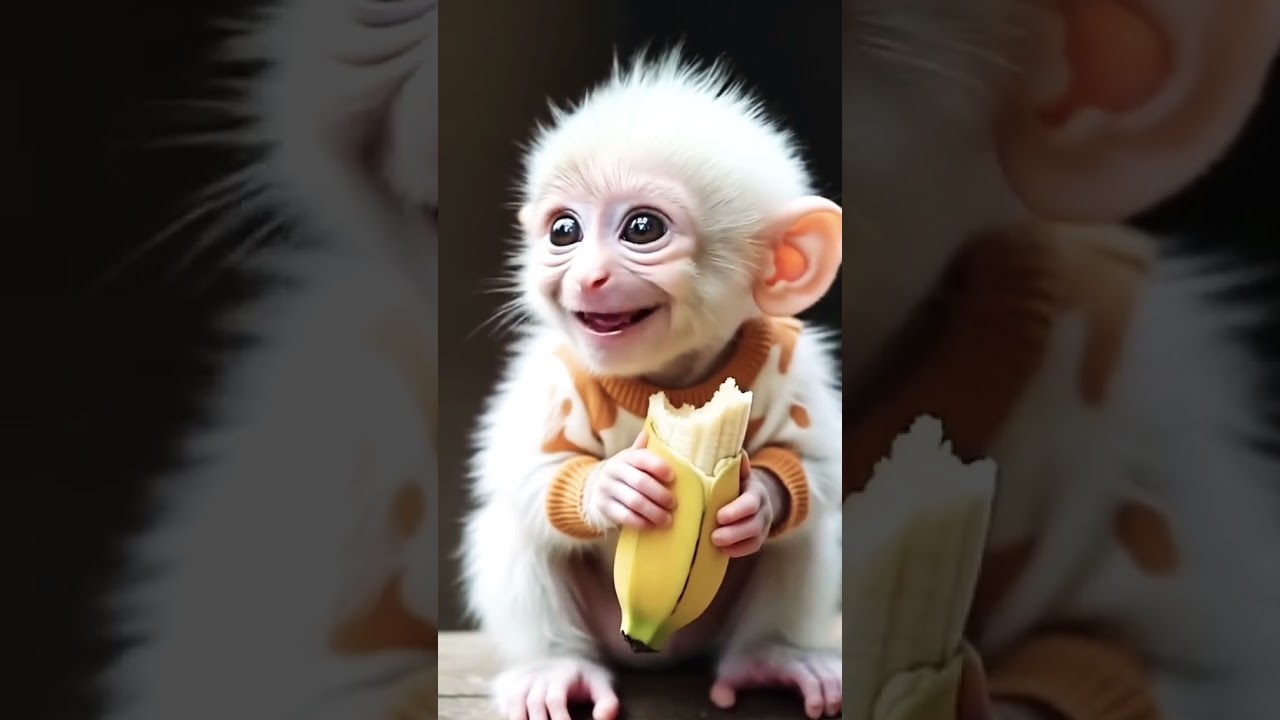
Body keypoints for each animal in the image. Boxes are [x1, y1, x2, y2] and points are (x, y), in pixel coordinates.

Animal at [457, 50, 845, 720]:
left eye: (642, 227)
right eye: (564, 231)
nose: (588, 278)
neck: (676, 376)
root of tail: (651, 645)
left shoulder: (793, 356)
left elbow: (821, 467)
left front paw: (759, 496)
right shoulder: (556, 368)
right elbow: (522, 469)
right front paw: (612, 487)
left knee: (808, 538)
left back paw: (771, 656)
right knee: (511, 529)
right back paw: (553, 668)